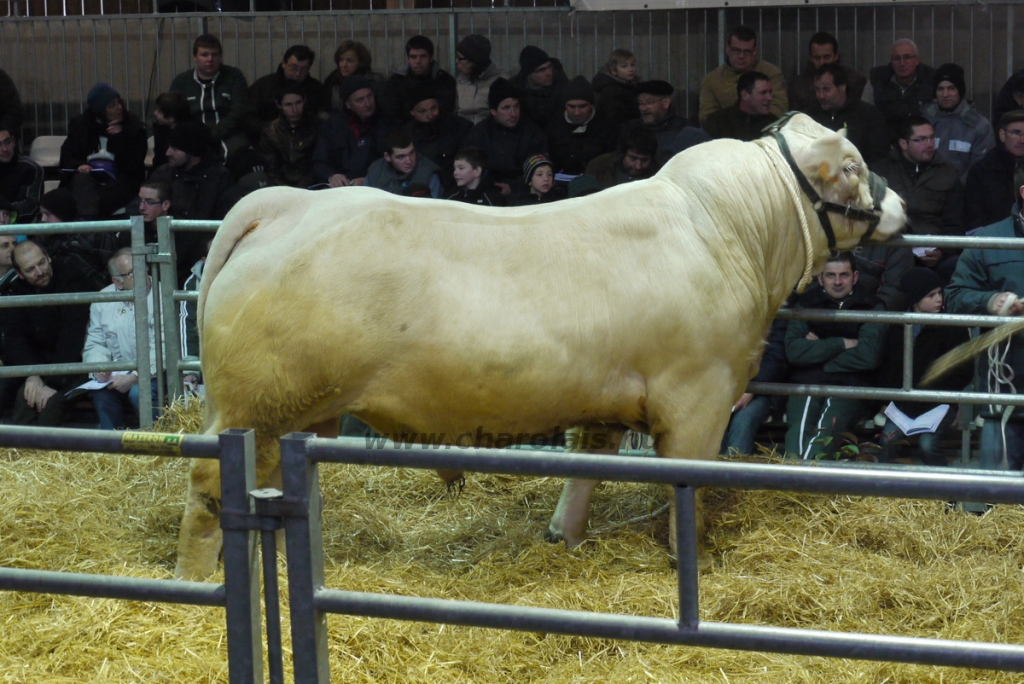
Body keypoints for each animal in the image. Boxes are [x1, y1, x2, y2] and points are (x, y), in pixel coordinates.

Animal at [174, 114, 905, 581]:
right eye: (853, 167)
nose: (901, 206)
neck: (728, 229)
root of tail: (287, 202)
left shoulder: (608, 400)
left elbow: (587, 465)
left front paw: (564, 536)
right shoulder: (701, 393)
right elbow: (688, 482)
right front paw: (684, 557)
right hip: (256, 405)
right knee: (209, 488)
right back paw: (196, 584)